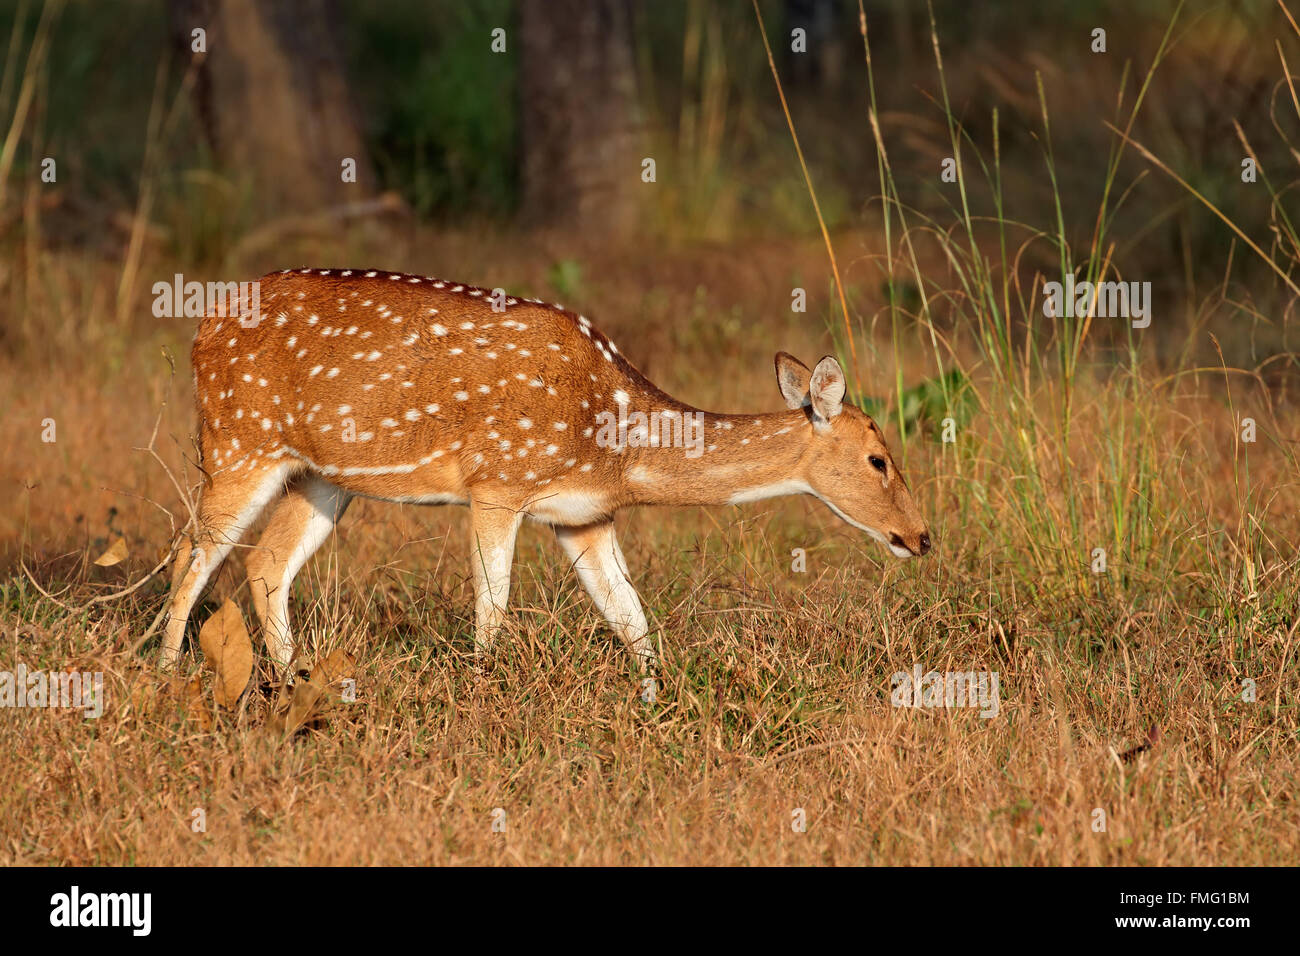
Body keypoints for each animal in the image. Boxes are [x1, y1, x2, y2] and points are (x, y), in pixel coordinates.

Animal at [159, 265, 935, 676]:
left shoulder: (585, 516)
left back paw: (292, 683)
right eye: (878, 458)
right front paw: (479, 692)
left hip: (319, 475)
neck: (615, 445)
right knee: (192, 553)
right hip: (237, 442)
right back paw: (165, 676)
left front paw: (657, 705)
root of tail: (200, 328)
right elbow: (493, 607)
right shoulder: (498, 482)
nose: (922, 537)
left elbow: (632, 618)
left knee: (265, 562)